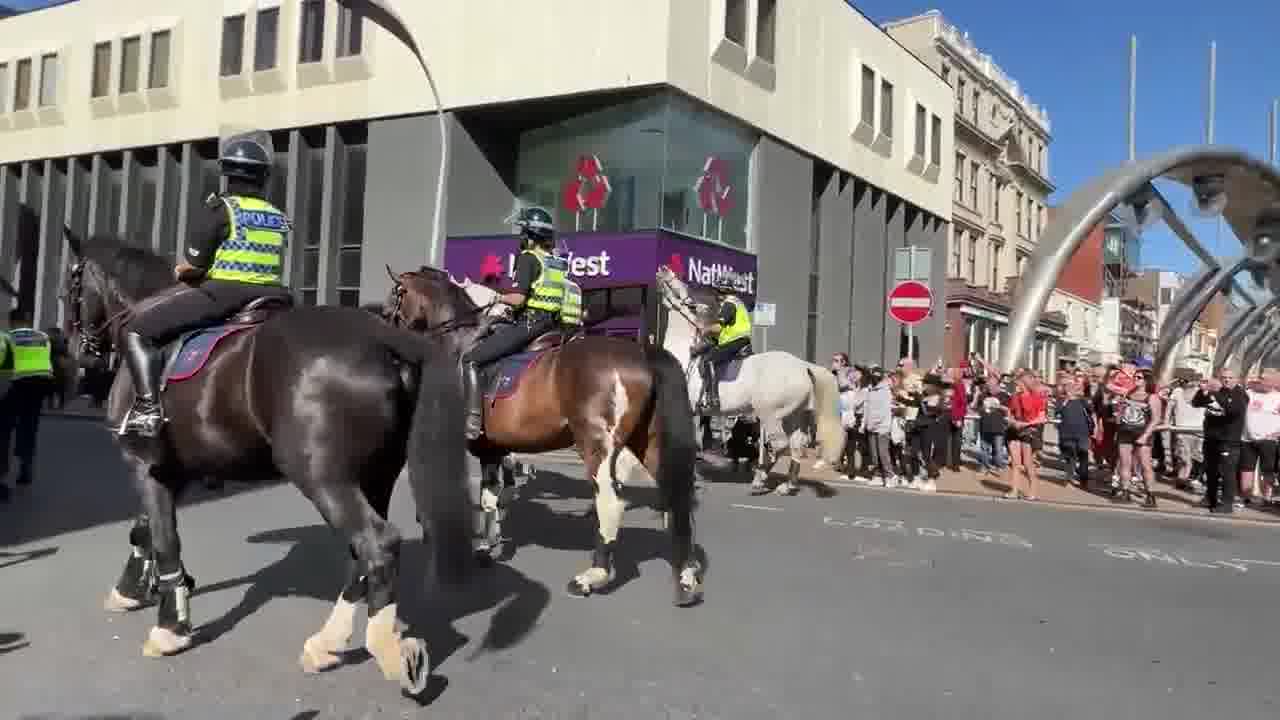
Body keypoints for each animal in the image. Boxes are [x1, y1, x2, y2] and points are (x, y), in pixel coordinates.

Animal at [60, 226, 471, 691]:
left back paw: (386, 650)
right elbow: (144, 529)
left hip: (322, 477)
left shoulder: (146, 466)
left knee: (377, 544)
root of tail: (384, 338)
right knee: (361, 554)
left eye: (72, 284)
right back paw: (328, 642)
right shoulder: (175, 469)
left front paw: (170, 627)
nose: (79, 354)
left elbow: (163, 537)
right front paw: (136, 590)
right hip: (375, 475)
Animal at [381, 266, 701, 602]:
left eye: (392, 302)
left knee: (611, 501)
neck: (458, 342)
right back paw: (687, 579)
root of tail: (642, 353)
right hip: (647, 442)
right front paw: (488, 545)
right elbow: (489, 497)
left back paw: (592, 576)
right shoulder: (491, 448)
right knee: (678, 497)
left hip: (597, 445)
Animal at [655, 263, 844, 491]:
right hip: (793, 416)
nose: (664, 269)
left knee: (780, 446)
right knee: (796, 445)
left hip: (770, 414)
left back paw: (760, 479)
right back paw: (787, 486)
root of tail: (803, 365)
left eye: (683, 289)